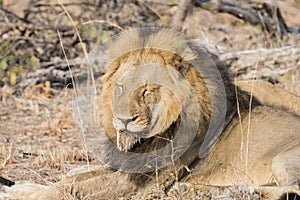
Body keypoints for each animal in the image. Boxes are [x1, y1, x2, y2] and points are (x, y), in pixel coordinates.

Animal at [0, 27, 300, 198]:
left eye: (146, 91)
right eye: (120, 86)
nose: (123, 120)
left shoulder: (138, 184)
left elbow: (70, 188)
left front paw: (23, 192)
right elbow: (75, 177)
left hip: (283, 159)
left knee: (292, 190)